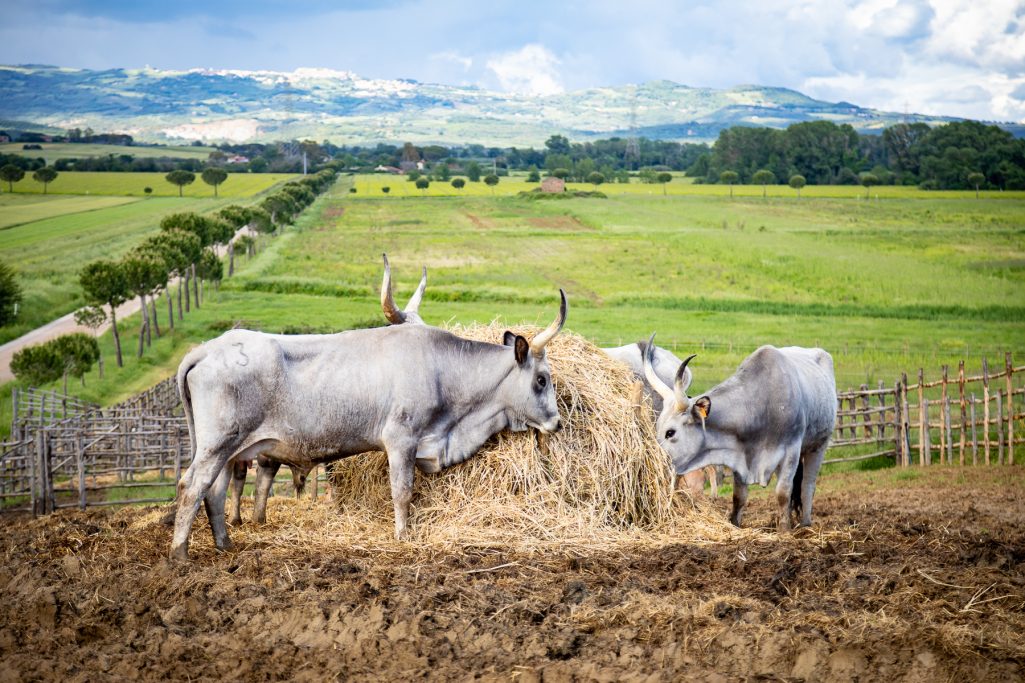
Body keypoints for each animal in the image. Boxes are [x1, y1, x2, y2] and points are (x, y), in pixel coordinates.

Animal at [170, 289, 569, 561]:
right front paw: (402, 535)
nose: (557, 422)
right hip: (218, 444)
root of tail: (206, 349)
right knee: (192, 487)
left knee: (215, 492)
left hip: (228, 449)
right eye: (541, 380)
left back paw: (224, 545)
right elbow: (402, 491)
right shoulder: (401, 439)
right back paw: (180, 554)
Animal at [643, 332, 836, 529]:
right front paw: (735, 524)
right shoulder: (739, 456)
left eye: (670, 432)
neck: (760, 405)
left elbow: (783, 493)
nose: (654, 463)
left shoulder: (791, 452)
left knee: (807, 486)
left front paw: (784, 530)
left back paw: (805, 525)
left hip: (818, 447)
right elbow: (739, 497)